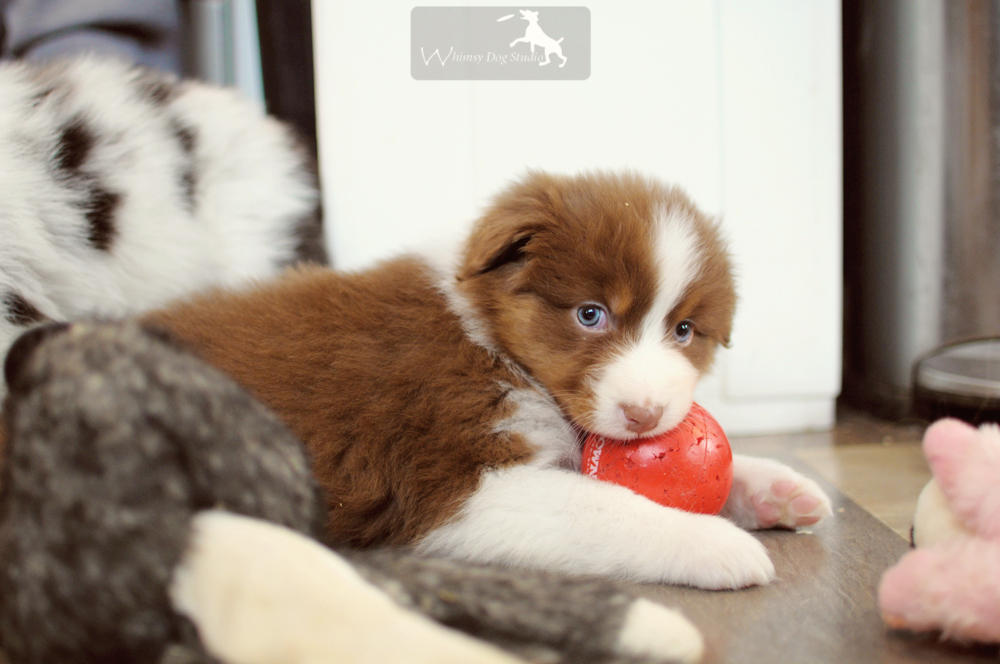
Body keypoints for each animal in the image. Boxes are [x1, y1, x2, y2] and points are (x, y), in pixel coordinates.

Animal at [145, 171, 832, 592]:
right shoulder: (454, 484)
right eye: (591, 314)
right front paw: (712, 541)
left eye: (685, 330)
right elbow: (604, 508)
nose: (645, 415)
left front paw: (772, 487)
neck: (494, 345)